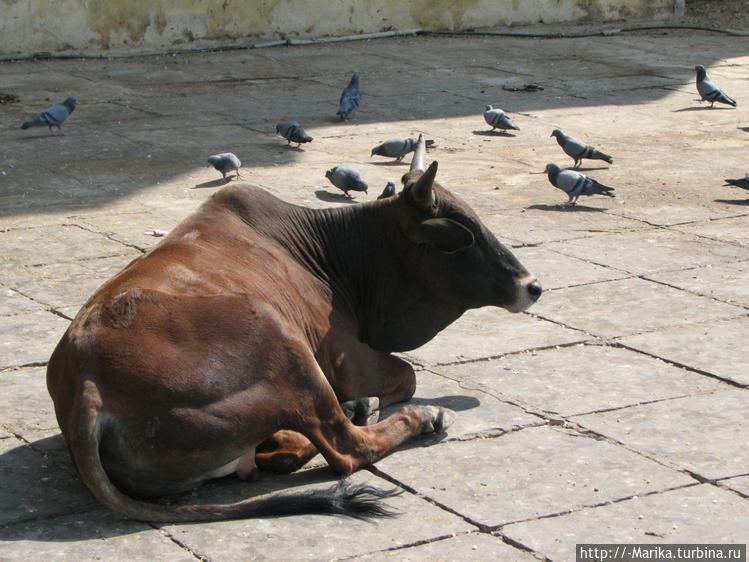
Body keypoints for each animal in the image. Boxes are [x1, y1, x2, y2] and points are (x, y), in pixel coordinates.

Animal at [45, 137, 536, 520]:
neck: (335, 254)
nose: (532, 285)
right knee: (344, 447)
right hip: (281, 341)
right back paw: (414, 416)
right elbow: (406, 375)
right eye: (465, 234)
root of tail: (86, 383)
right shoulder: (346, 359)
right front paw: (382, 403)